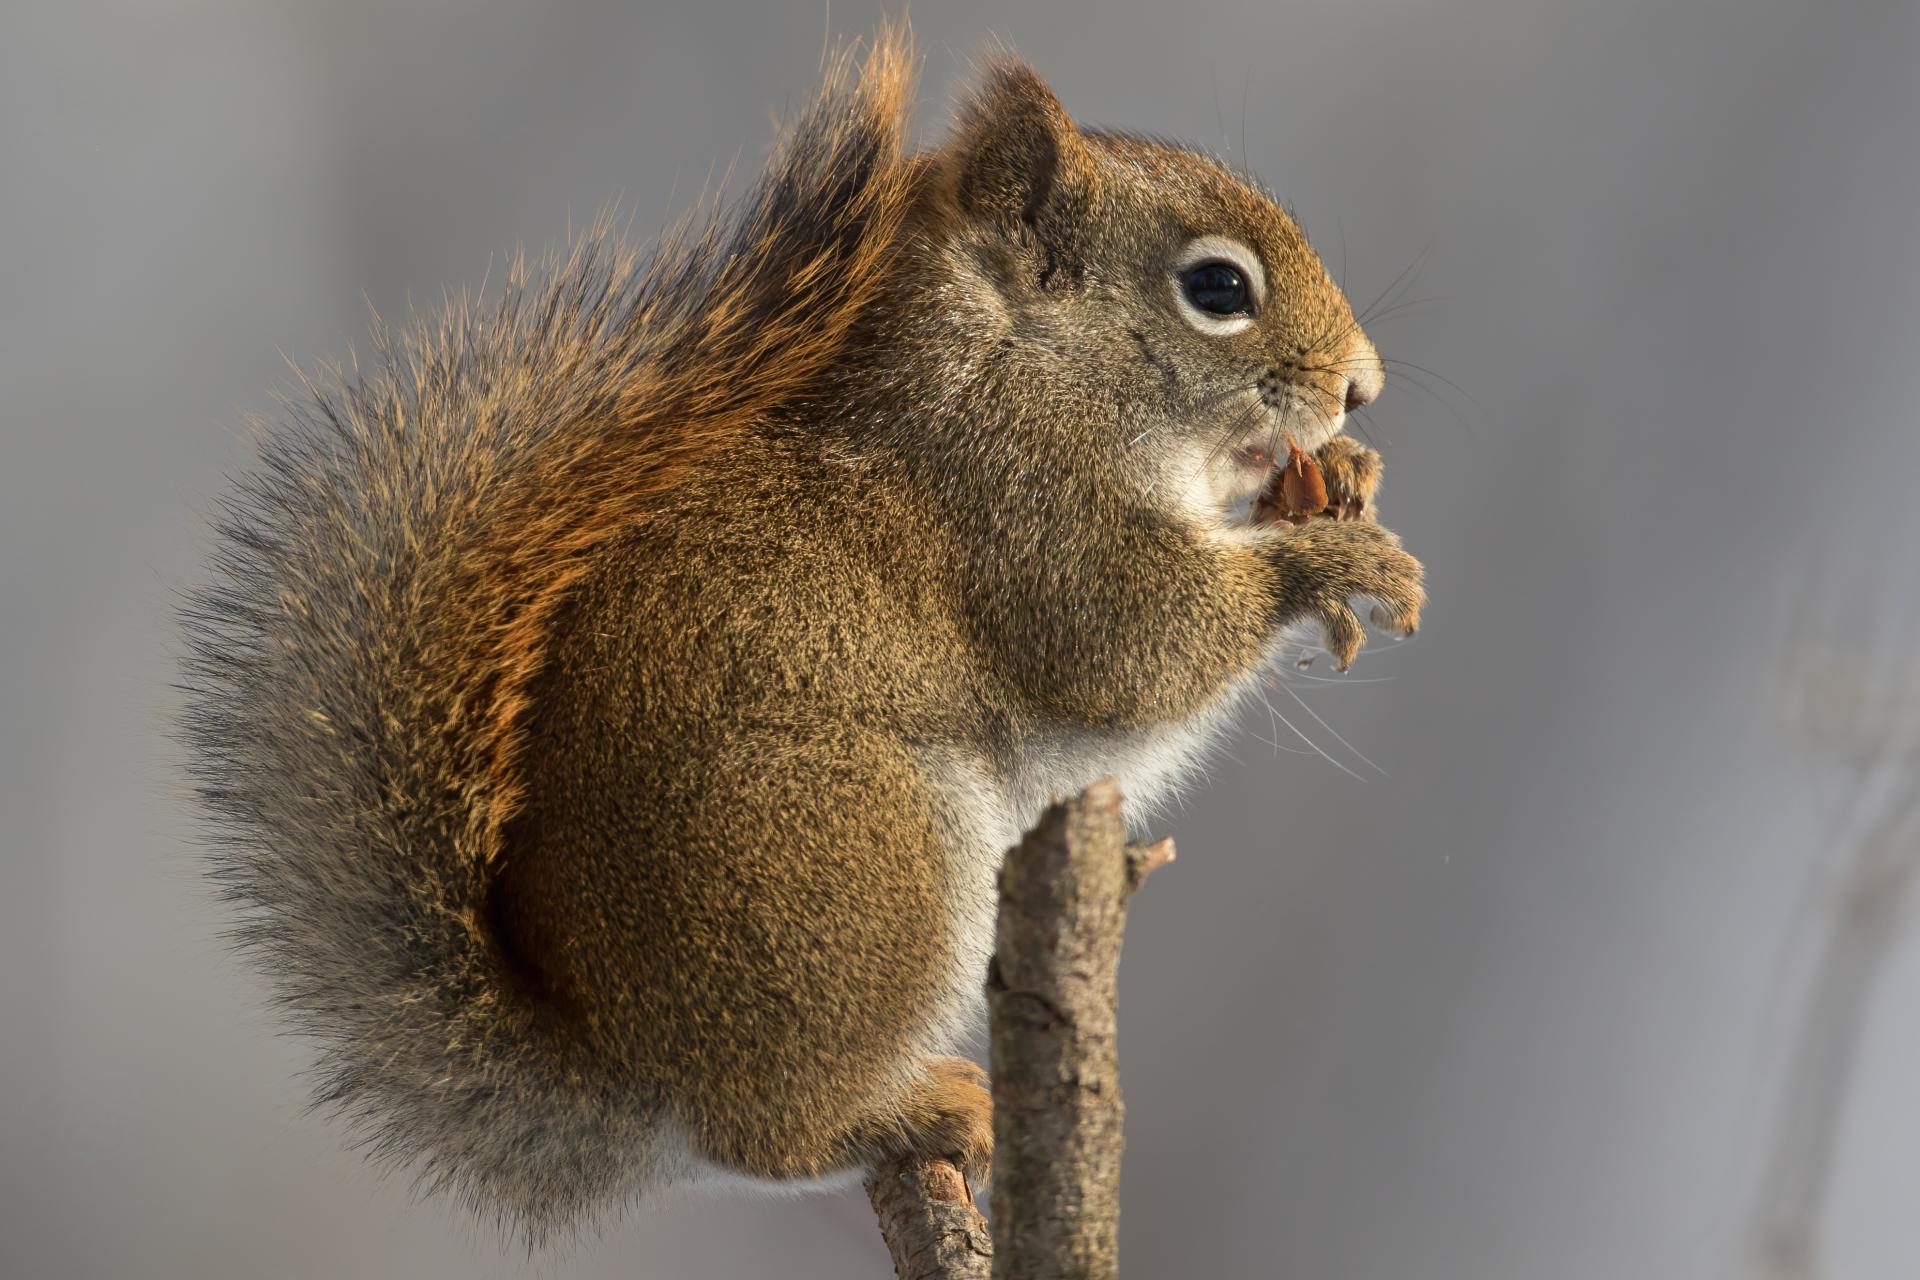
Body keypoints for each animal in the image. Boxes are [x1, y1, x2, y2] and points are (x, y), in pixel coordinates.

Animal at [181, 28, 1424, 1244]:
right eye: (1216, 287)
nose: (1361, 386)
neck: (1016, 355)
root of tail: (636, 1072)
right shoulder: (1020, 509)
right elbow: (1132, 644)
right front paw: (1330, 559)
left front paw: (1341, 480)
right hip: (866, 858)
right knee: (771, 1136)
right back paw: (914, 1106)